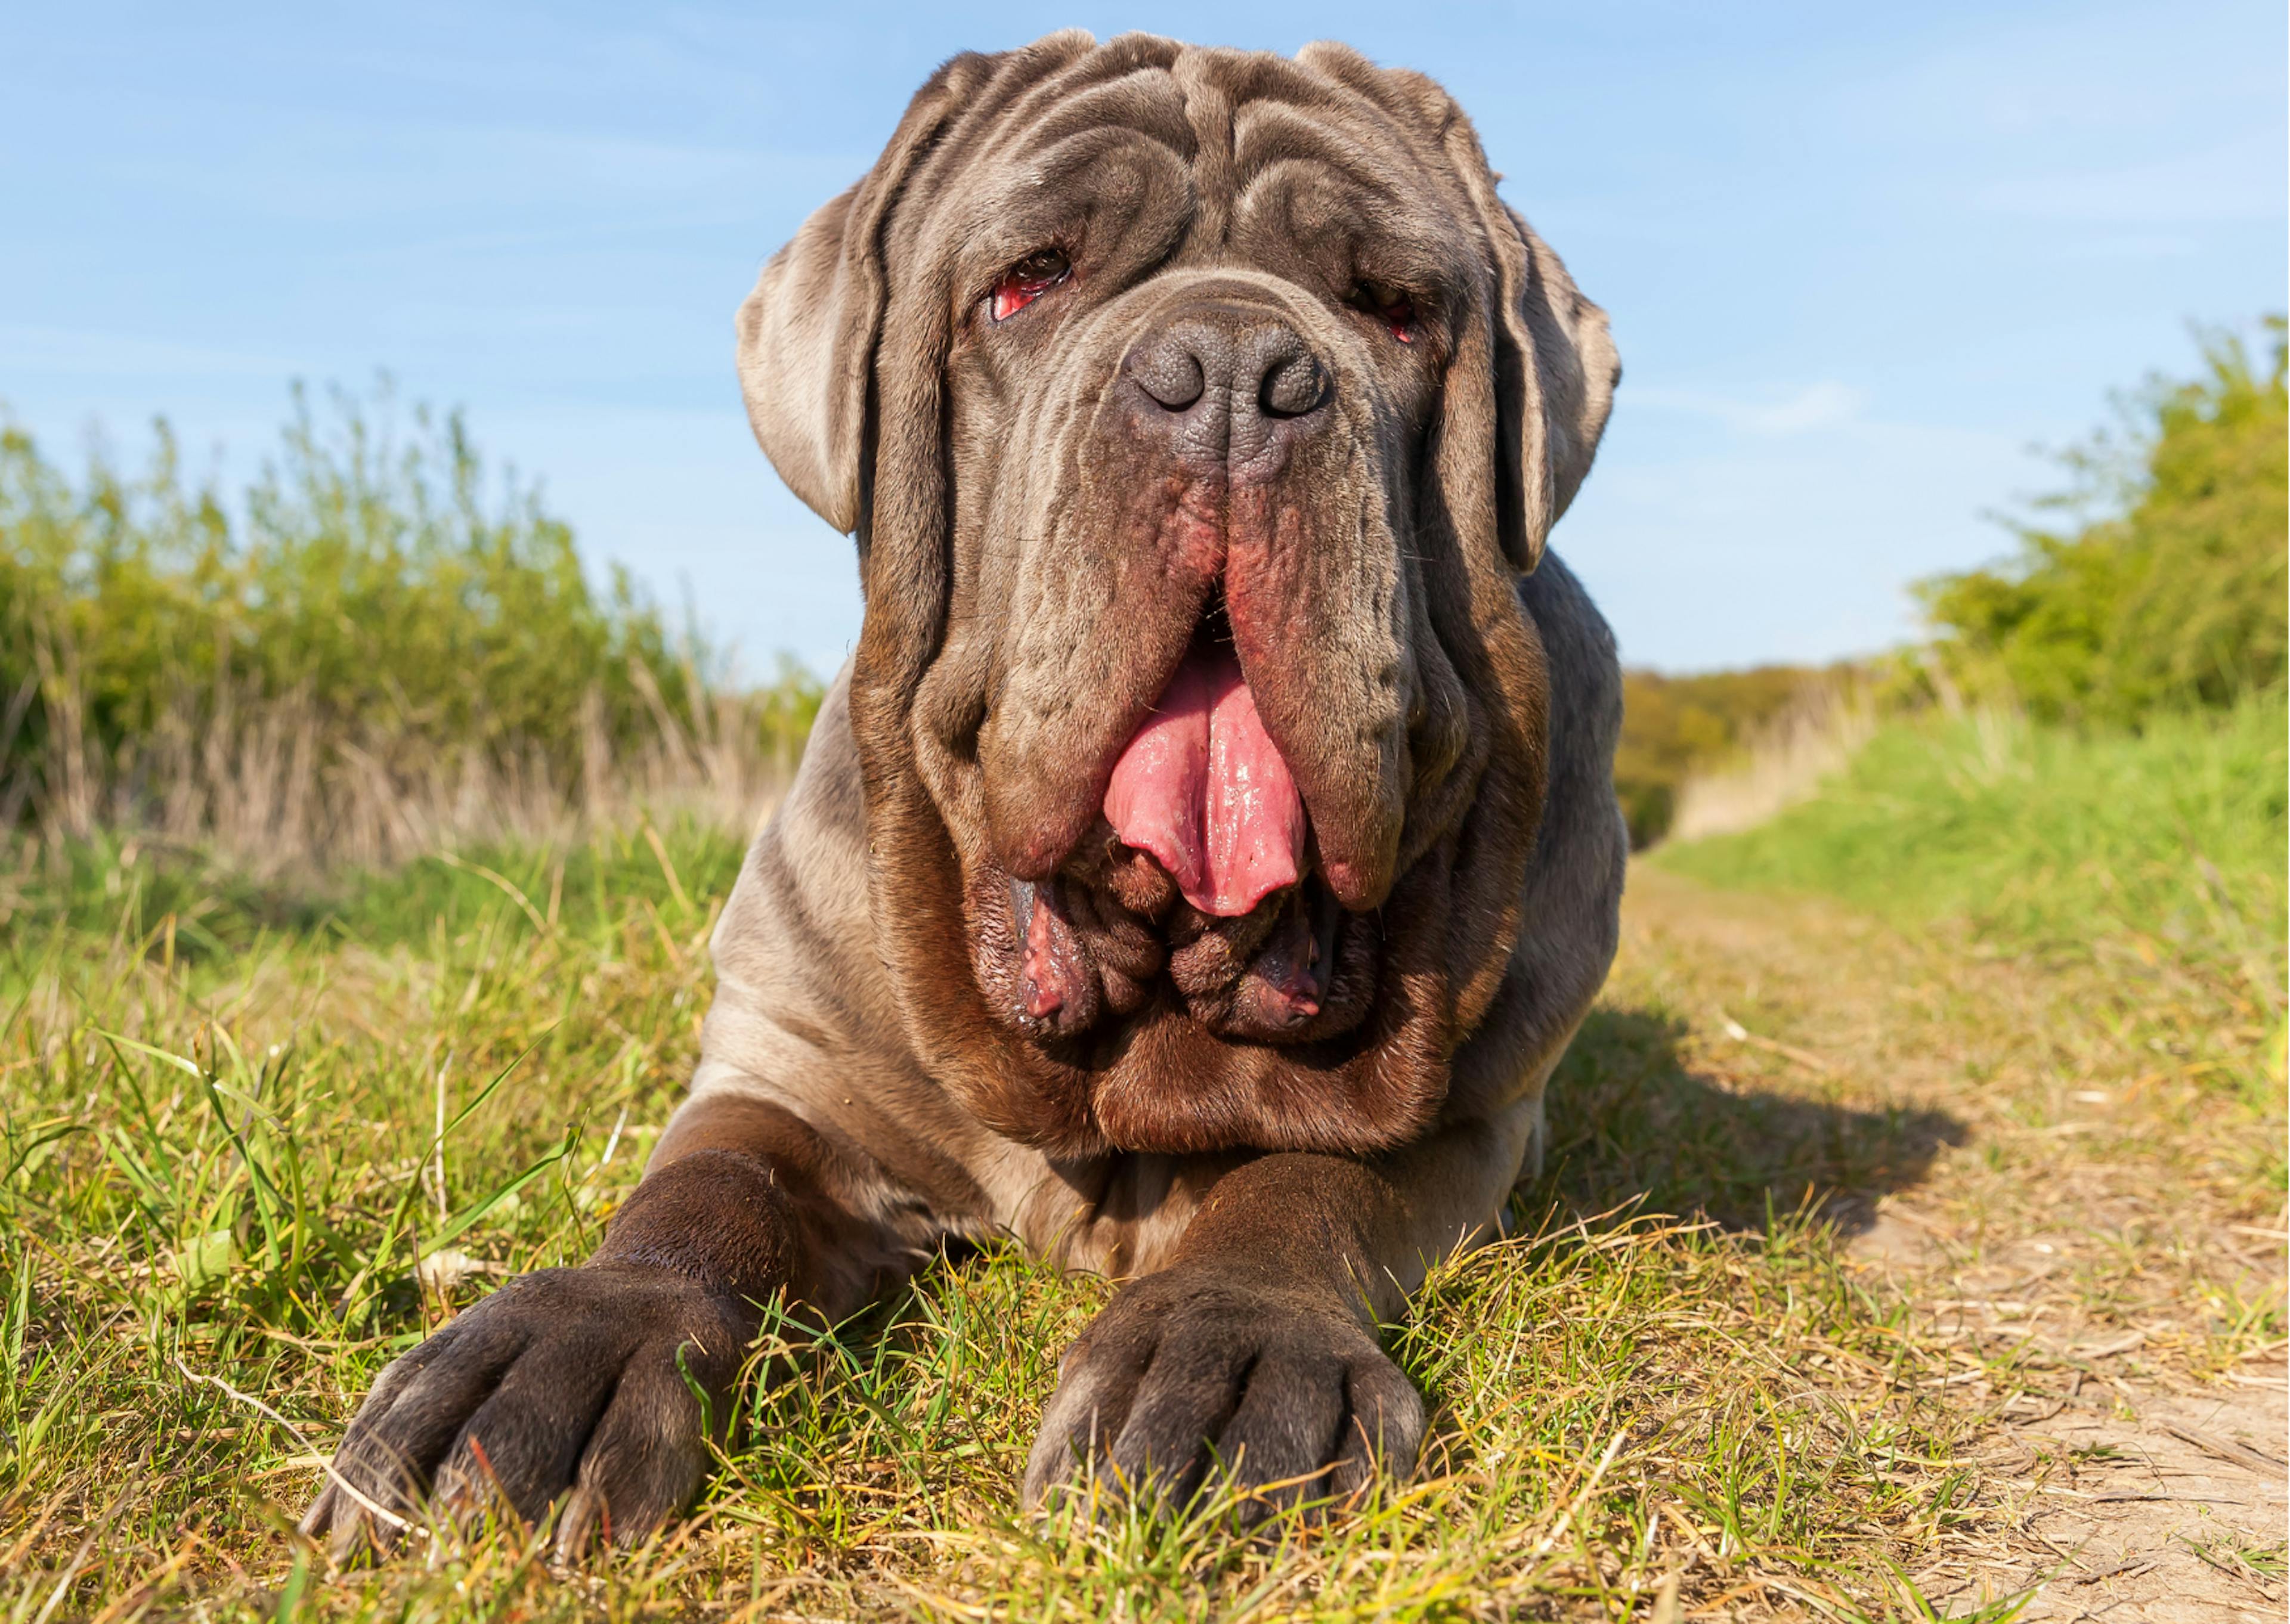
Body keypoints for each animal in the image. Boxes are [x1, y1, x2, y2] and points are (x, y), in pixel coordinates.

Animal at [304, 32, 1630, 1557]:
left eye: (1397, 312)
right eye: (1025, 282)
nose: (1236, 372)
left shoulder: (1472, 1121)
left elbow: (1306, 1184)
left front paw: (1228, 1352)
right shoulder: (787, 1060)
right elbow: (703, 1197)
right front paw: (563, 1344)